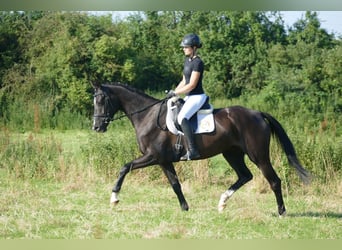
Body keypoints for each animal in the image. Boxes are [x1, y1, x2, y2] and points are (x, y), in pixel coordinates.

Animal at [91, 82, 310, 217]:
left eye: (101, 100)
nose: (96, 127)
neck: (148, 116)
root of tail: (257, 113)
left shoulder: (152, 156)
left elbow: (124, 167)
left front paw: (114, 199)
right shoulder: (163, 160)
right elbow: (175, 184)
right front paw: (185, 207)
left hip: (259, 156)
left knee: (274, 181)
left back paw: (281, 212)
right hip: (232, 153)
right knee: (245, 176)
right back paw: (222, 202)